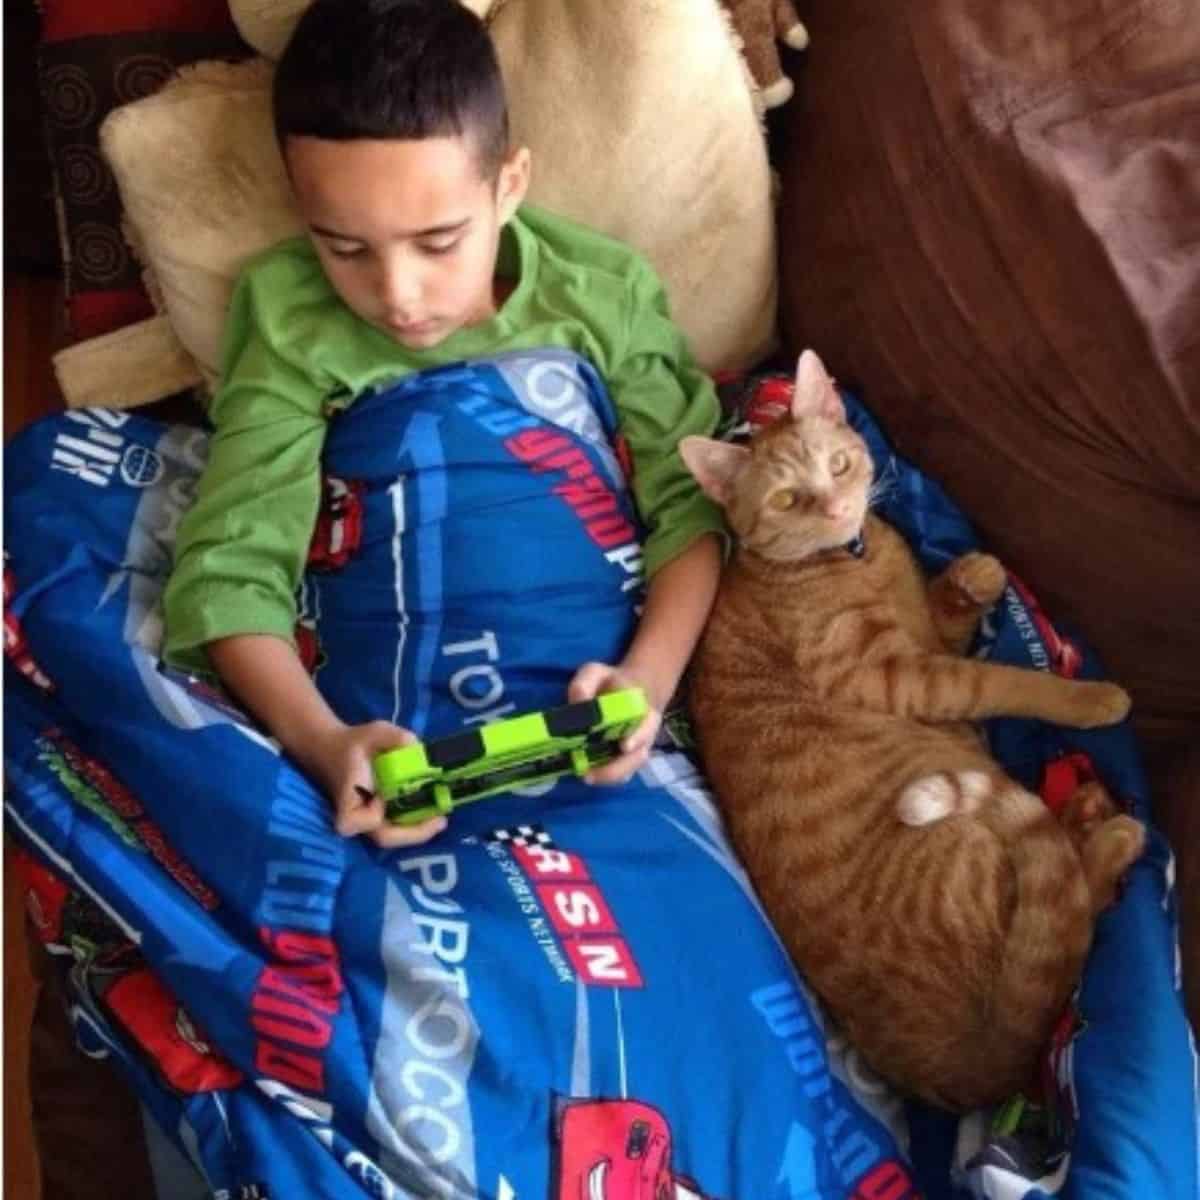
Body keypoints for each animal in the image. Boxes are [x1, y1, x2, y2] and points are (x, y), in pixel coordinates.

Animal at [686, 350, 1142, 1108]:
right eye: (786, 500)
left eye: (839, 464)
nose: (837, 506)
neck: (852, 556)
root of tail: (980, 1067)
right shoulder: (900, 675)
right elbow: (1000, 681)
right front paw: (1087, 698)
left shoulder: (926, 643)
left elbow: (948, 618)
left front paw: (972, 577)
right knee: (1078, 897)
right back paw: (1108, 832)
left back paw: (1084, 806)